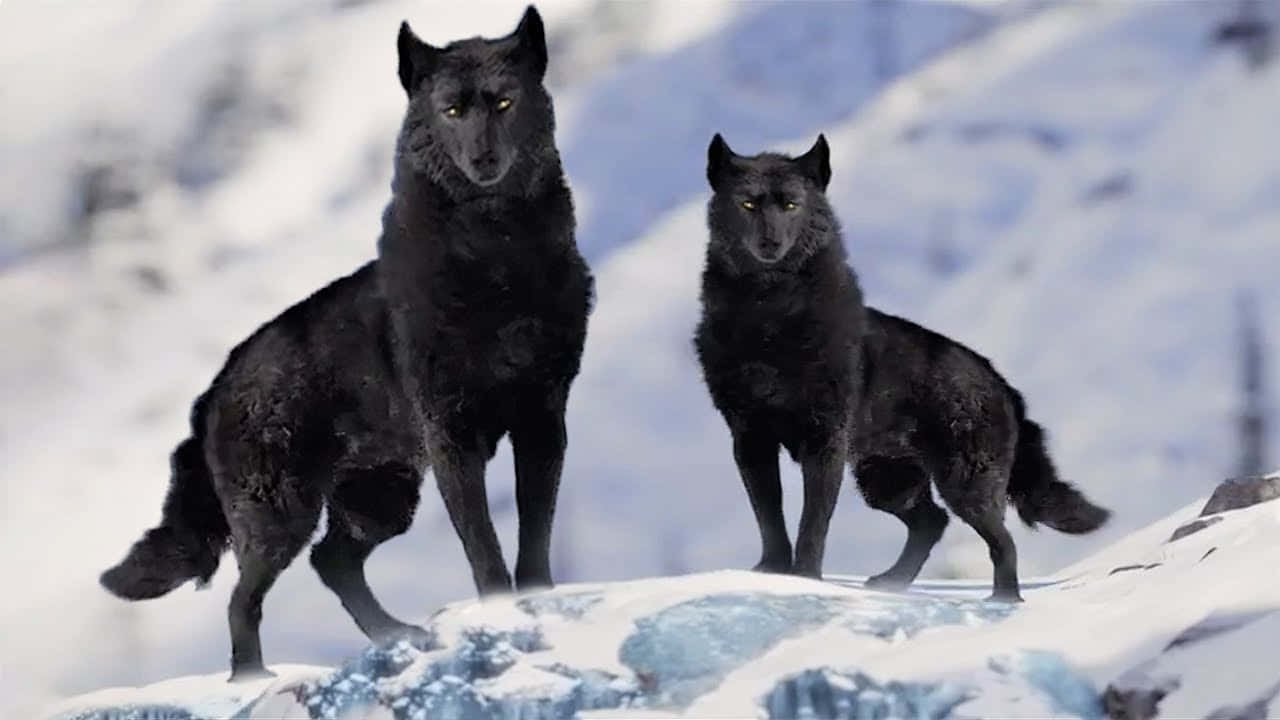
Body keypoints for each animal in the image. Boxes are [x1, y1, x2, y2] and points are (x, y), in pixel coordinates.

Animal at [100, 6, 593, 680]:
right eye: (451, 110)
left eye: (503, 101)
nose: (483, 159)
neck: (497, 259)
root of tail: (209, 395)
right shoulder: (452, 436)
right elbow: (485, 549)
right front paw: (499, 615)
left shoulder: (543, 417)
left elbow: (533, 536)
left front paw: (538, 602)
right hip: (283, 515)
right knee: (244, 598)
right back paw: (254, 678)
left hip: (379, 498)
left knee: (331, 562)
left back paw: (395, 636)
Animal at [695, 134, 1108, 601]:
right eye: (748, 204)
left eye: (791, 205)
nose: (770, 243)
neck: (769, 319)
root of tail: (1004, 385)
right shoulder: (750, 437)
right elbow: (769, 517)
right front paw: (772, 571)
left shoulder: (824, 440)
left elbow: (812, 523)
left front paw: (805, 578)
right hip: (887, 482)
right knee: (933, 522)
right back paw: (893, 581)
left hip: (962, 485)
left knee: (1001, 540)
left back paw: (1004, 598)